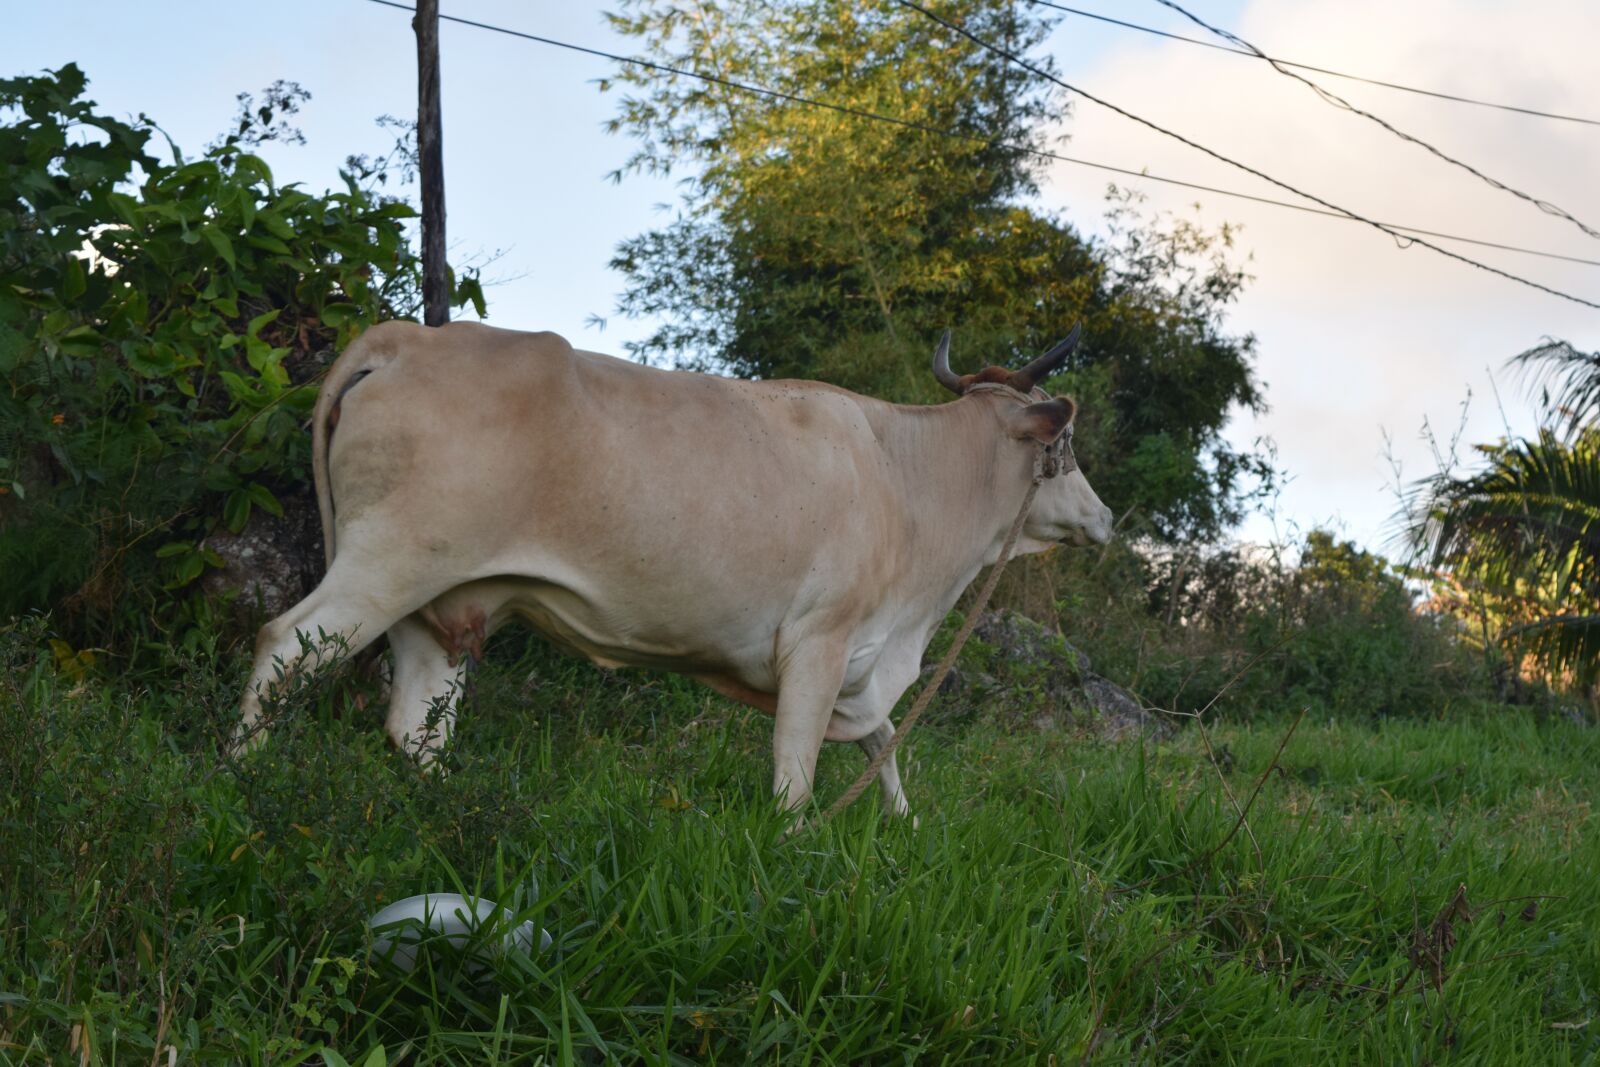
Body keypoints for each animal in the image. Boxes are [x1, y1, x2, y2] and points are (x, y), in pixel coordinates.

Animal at [234, 321, 1113, 818]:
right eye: (1066, 447)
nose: (1105, 518)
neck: (910, 476)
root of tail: (402, 336)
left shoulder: (861, 660)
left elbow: (883, 738)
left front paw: (902, 826)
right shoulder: (821, 642)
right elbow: (797, 772)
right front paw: (796, 849)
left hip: (441, 603)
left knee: (415, 727)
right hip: (388, 562)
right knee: (281, 646)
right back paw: (237, 781)